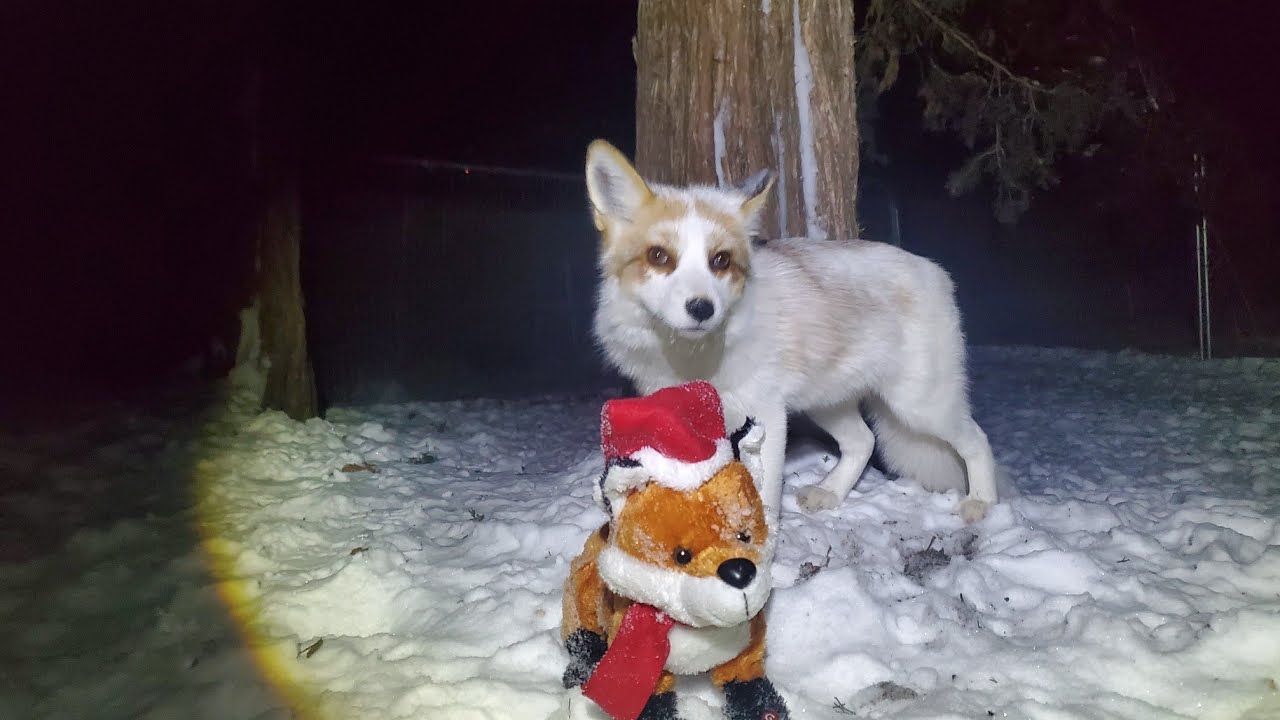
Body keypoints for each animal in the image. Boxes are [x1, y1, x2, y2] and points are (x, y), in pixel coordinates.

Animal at [583, 139, 999, 523]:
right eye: (659, 257)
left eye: (721, 261)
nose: (702, 309)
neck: (690, 357)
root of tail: (934, 270)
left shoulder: (766, 414)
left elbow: (765, 498)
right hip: (828, 404)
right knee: (863, 442)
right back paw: (830, 493)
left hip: (920, 406)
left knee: (977, 439)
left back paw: (981, 502)